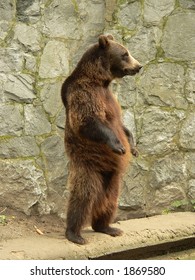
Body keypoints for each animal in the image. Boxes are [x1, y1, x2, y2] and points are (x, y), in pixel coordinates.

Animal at [61, 34, 142, 245]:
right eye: (125, 54)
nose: (139, 66)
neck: (100, 80)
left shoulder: (110, 98)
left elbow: (121, 125)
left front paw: (133, 146)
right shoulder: (84, 93)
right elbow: (89, 120)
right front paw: (119, 146)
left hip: (112, 177)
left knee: (110, 199)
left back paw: (107, 227)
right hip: (88, 165)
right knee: (83, 195)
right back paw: (75, 234)